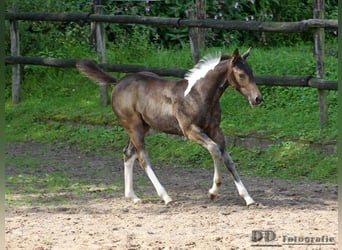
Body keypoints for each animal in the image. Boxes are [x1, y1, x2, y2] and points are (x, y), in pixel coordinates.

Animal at [77, 47, 264, 206]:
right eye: (241, 74)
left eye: (251, 72)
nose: (257, 98)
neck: (199, 94)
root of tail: (118, 82)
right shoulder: (190, 130)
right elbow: (215, 150)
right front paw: (213, 192)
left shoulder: (216, 130)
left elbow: (228, 160)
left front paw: (248, 198)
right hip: (133, 126)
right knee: (142, 158)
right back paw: (165, 196)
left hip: (143, 126)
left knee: (128, 153)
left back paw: (133, 196)